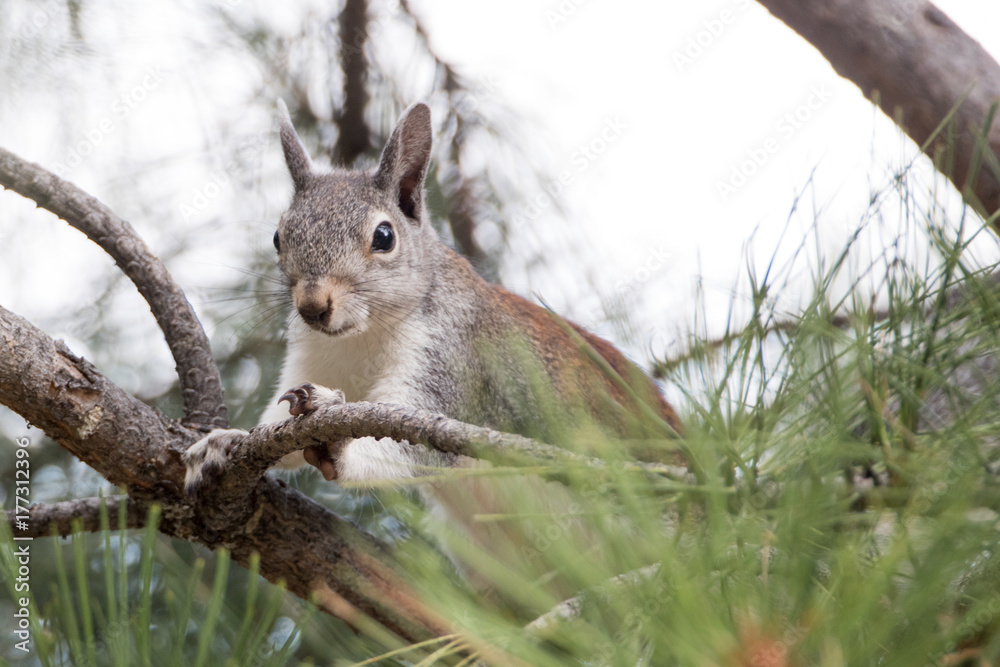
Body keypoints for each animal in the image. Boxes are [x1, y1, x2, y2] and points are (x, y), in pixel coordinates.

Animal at [184, 100, 682, 496]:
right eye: (277, 237)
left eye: (384, 237)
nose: (312, 306)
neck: (362, 337)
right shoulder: (314, 356)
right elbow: (276, 427)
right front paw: (222, 440)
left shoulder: (451, 361)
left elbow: (413, 445)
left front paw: (339, 444)